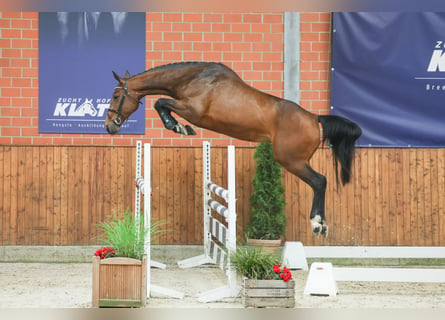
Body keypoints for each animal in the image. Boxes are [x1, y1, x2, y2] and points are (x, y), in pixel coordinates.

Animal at [105, 61, 360, 236]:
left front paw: (178, 127)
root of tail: (314, 119)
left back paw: (318, 224)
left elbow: (160, 102)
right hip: (295, 161)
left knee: (320, 181)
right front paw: (179, 126)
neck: (192, 79)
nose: (109, 126)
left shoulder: (193, 110)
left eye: (116, 95)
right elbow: (161, 103)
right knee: (320, 182)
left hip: (291, 160)